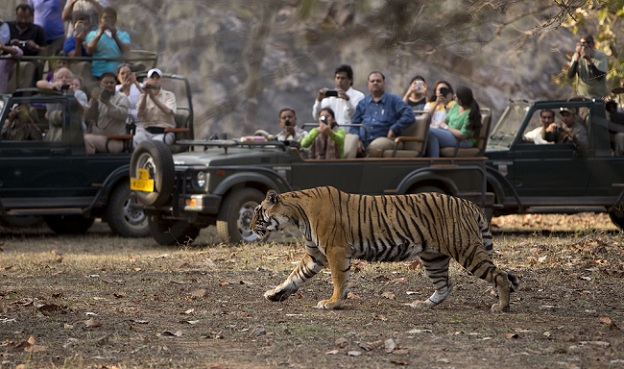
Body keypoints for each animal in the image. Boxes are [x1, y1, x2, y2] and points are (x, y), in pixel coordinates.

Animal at [251, 187, 520, 310]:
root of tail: (468, 203)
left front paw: (333, 302)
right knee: (445, 285)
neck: (297, 215)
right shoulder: (315, 255)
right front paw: (275, 293)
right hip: (433, 257)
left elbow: (339, 279)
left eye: (258, 213)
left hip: (465, 248)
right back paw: (423, 304)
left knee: (499, 275)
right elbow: (294, 275)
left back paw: (501, 307)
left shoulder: (335, 251)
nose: (250, 226)